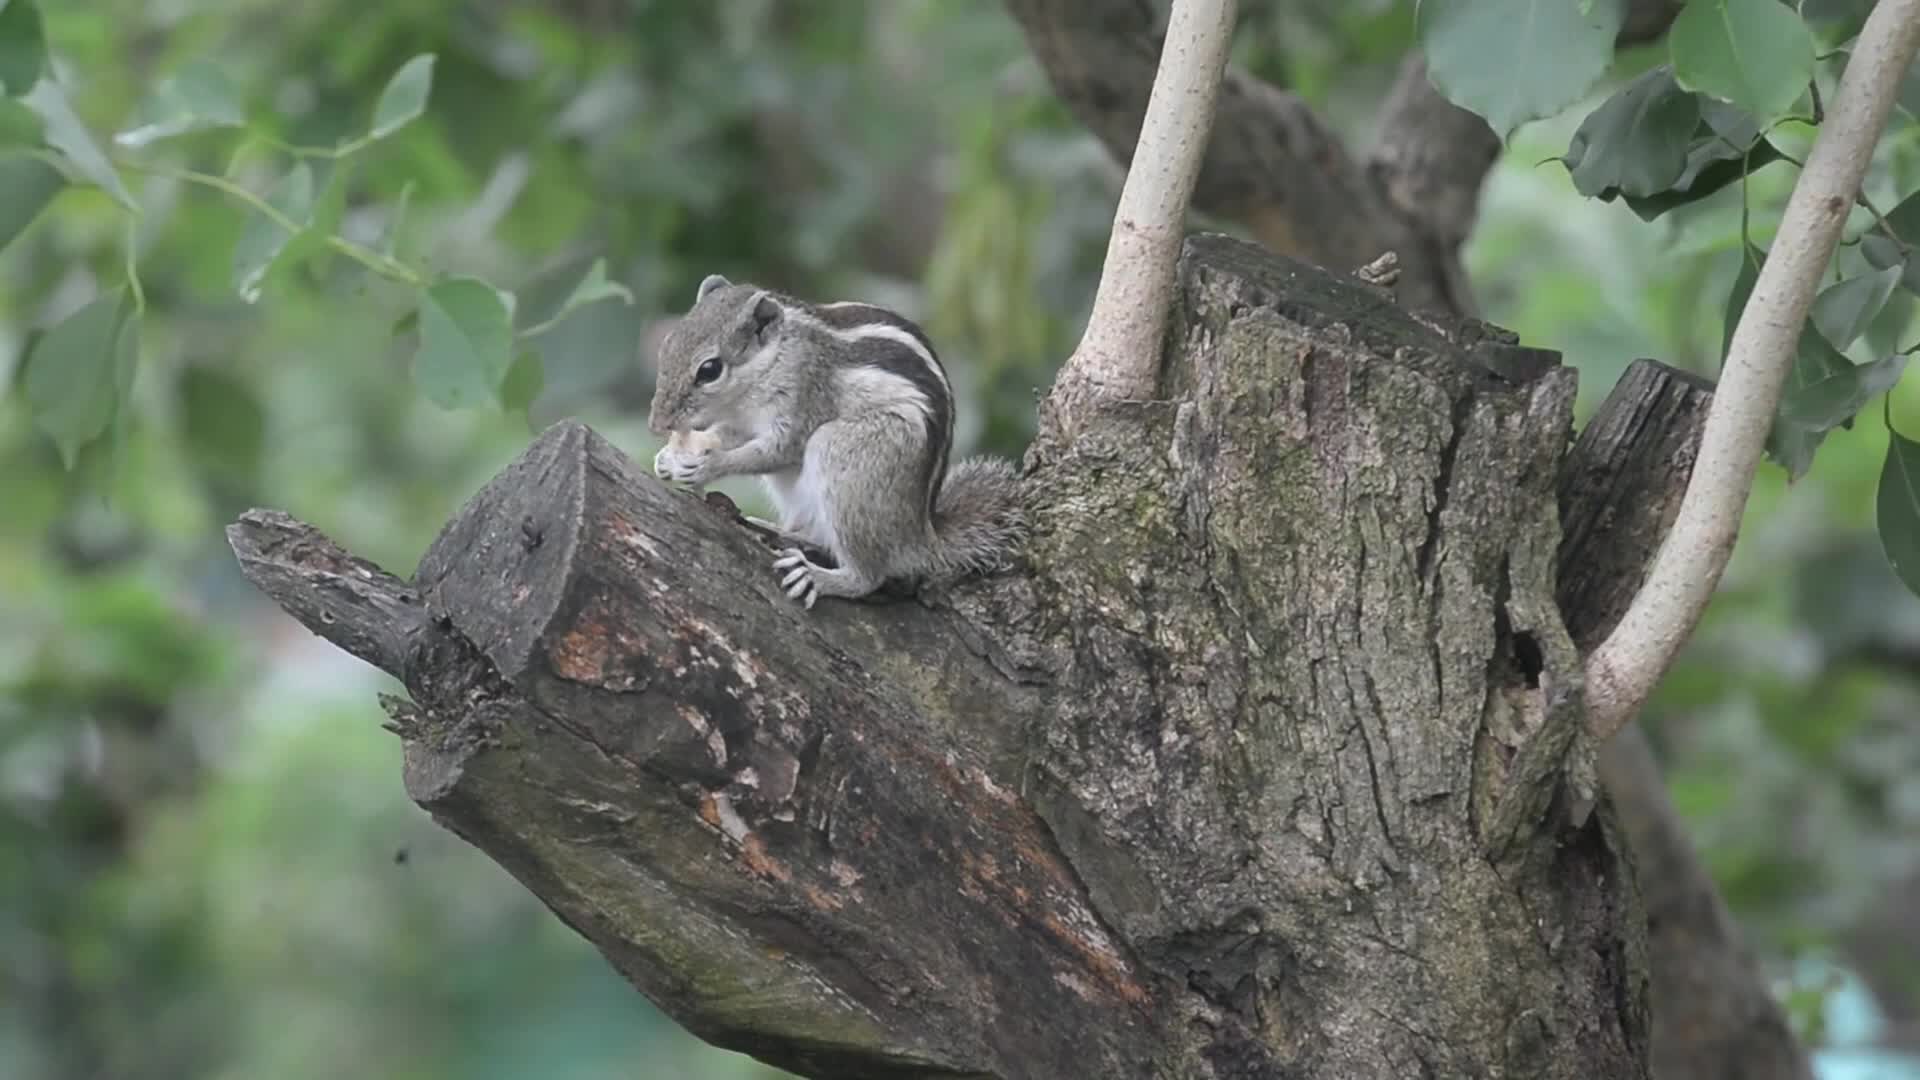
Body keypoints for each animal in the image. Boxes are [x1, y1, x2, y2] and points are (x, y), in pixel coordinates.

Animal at [647, 274, 1026, 609]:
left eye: (710, 370)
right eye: (666, 344)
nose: (656, 424)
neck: (773, 361)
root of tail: (920, 536)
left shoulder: (803, 400)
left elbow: (778, 451)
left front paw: (707, 466)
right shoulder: (744, 422)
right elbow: (729, 437)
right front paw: (670, 456)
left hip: (848, 456)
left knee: (868, 576)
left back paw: (820, 577)